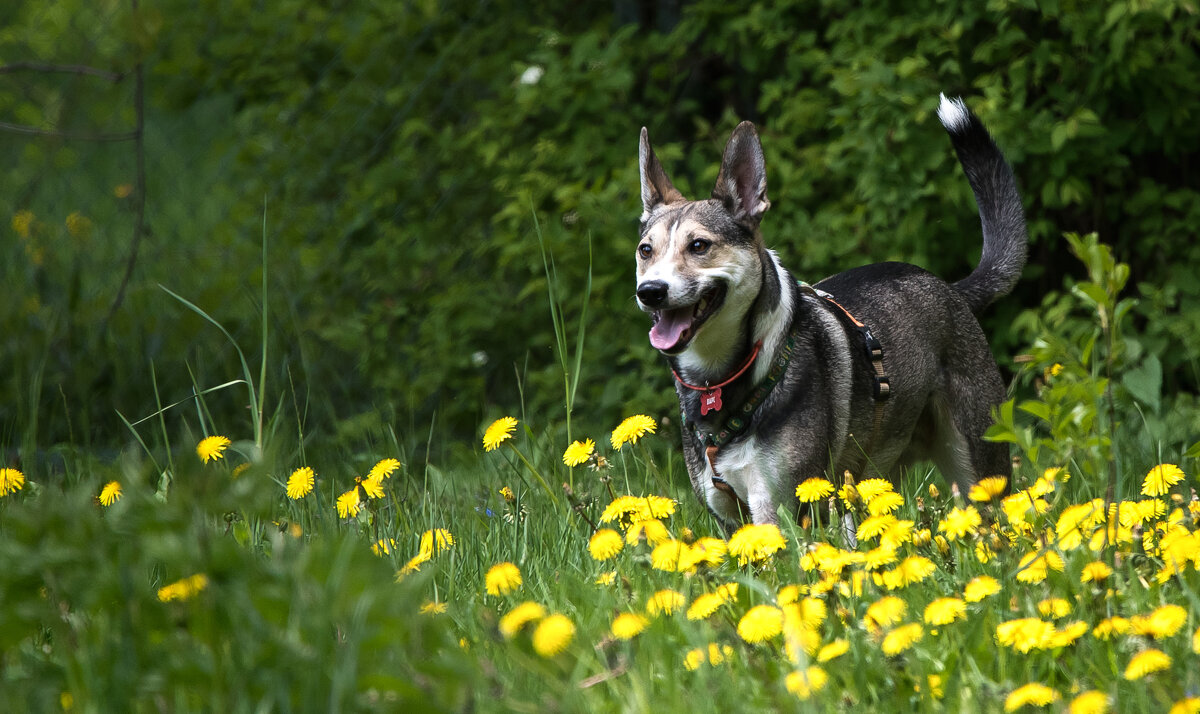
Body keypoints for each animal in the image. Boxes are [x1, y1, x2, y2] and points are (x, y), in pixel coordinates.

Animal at [633, 93, 1027, 530]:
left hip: (981, 469)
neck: (727, 378)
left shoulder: (779, 506)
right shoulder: (728, 519)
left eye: (699, 246)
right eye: (645, 250)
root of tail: (951, 289)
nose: (650, 292)